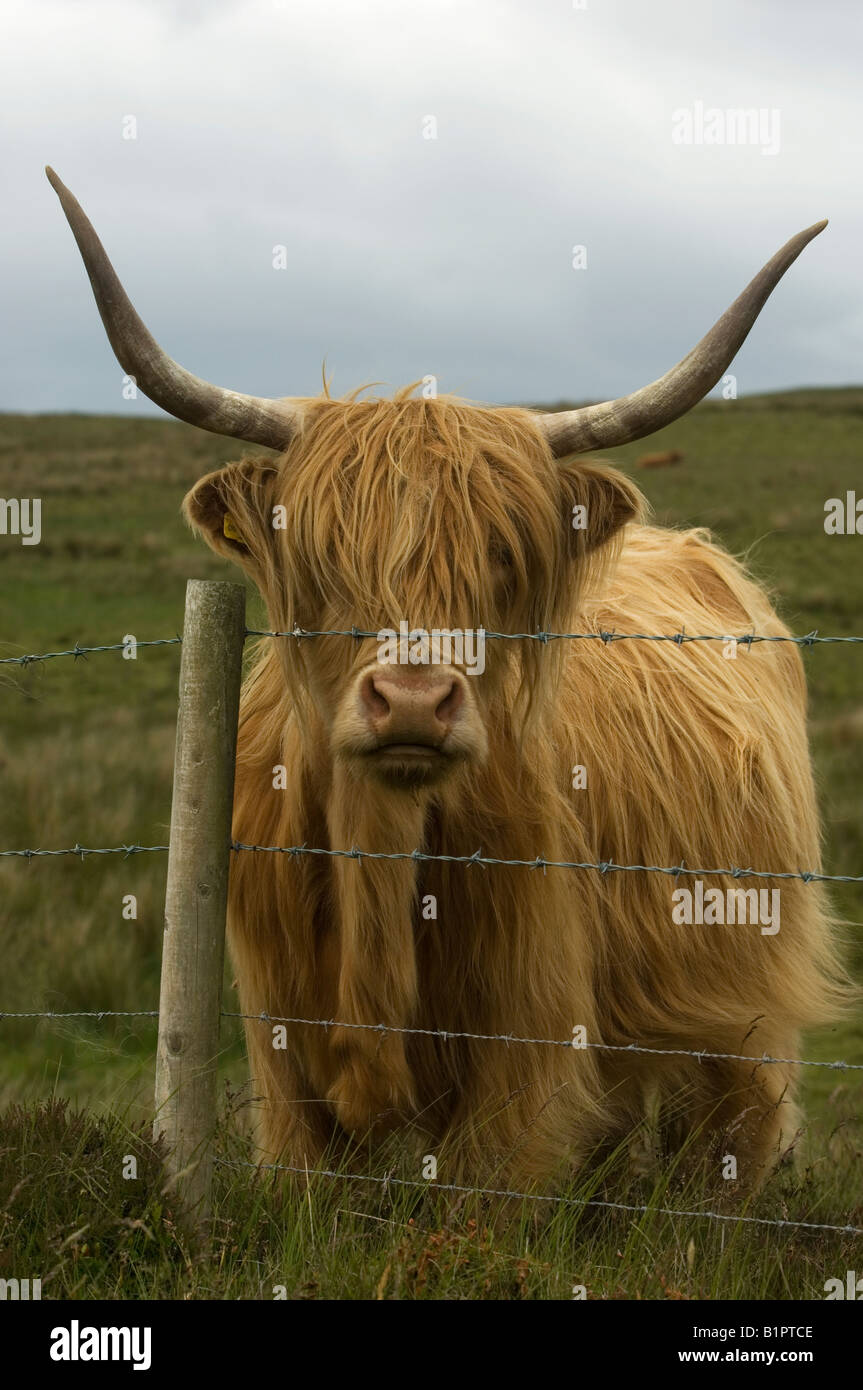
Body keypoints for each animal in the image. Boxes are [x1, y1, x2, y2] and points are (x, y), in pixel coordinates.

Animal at [48, 168, 846, 1193]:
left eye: (501, 555)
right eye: (318, 555)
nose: (414, 702)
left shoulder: (526, 1070)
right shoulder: (281, 1069)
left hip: (744, 1015)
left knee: (731, 1147)